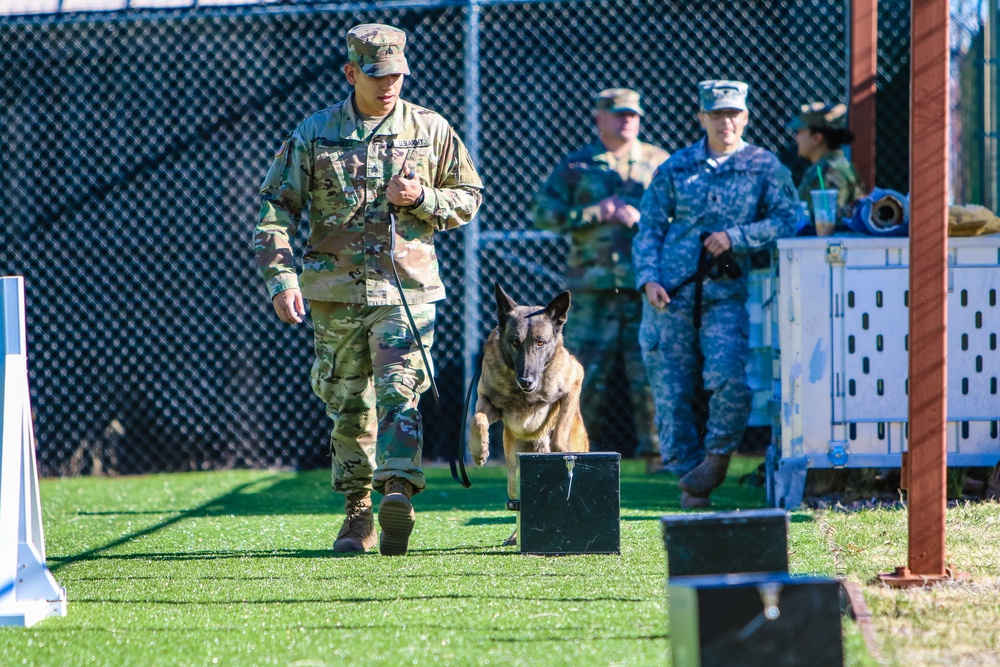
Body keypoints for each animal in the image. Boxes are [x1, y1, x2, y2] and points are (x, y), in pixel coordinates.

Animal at [472, 284, 588, 544]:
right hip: (514, 474)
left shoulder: (575, 378)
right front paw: (479, 451)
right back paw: (517, 536)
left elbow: (559, 434)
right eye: (515, 342)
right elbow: (477, 419)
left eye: (541, 343)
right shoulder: (486, 401)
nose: (526, 380)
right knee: (517, 501)